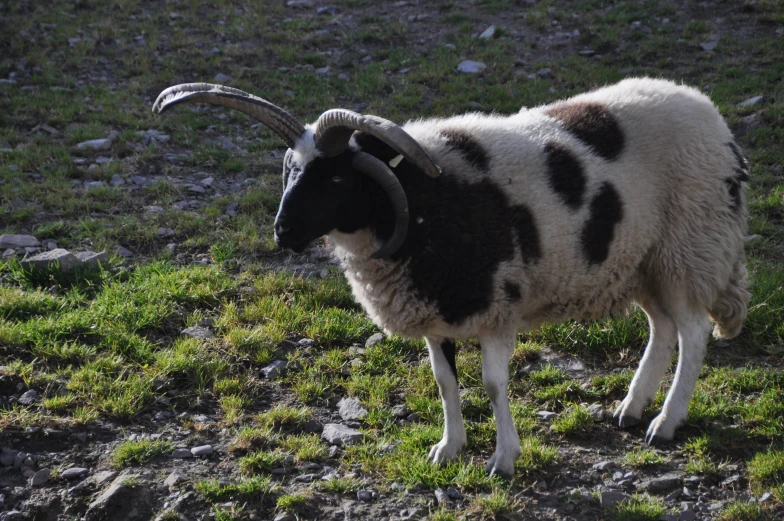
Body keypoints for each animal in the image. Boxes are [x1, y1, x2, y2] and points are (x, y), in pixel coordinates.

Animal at [155, 77, 752, 476]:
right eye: (291, 171)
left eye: (337, 177)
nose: (282, 233)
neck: (422, 200)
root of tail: (706, 110)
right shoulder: (436, 310)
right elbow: (445, 383)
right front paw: (448, 449)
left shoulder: (496, 306)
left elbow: (492, 385)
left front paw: (503, 459)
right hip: (642, 260)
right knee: (663, 329)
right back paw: (630, 409)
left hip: (688, 247)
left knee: (693, 332)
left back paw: (664, 424)